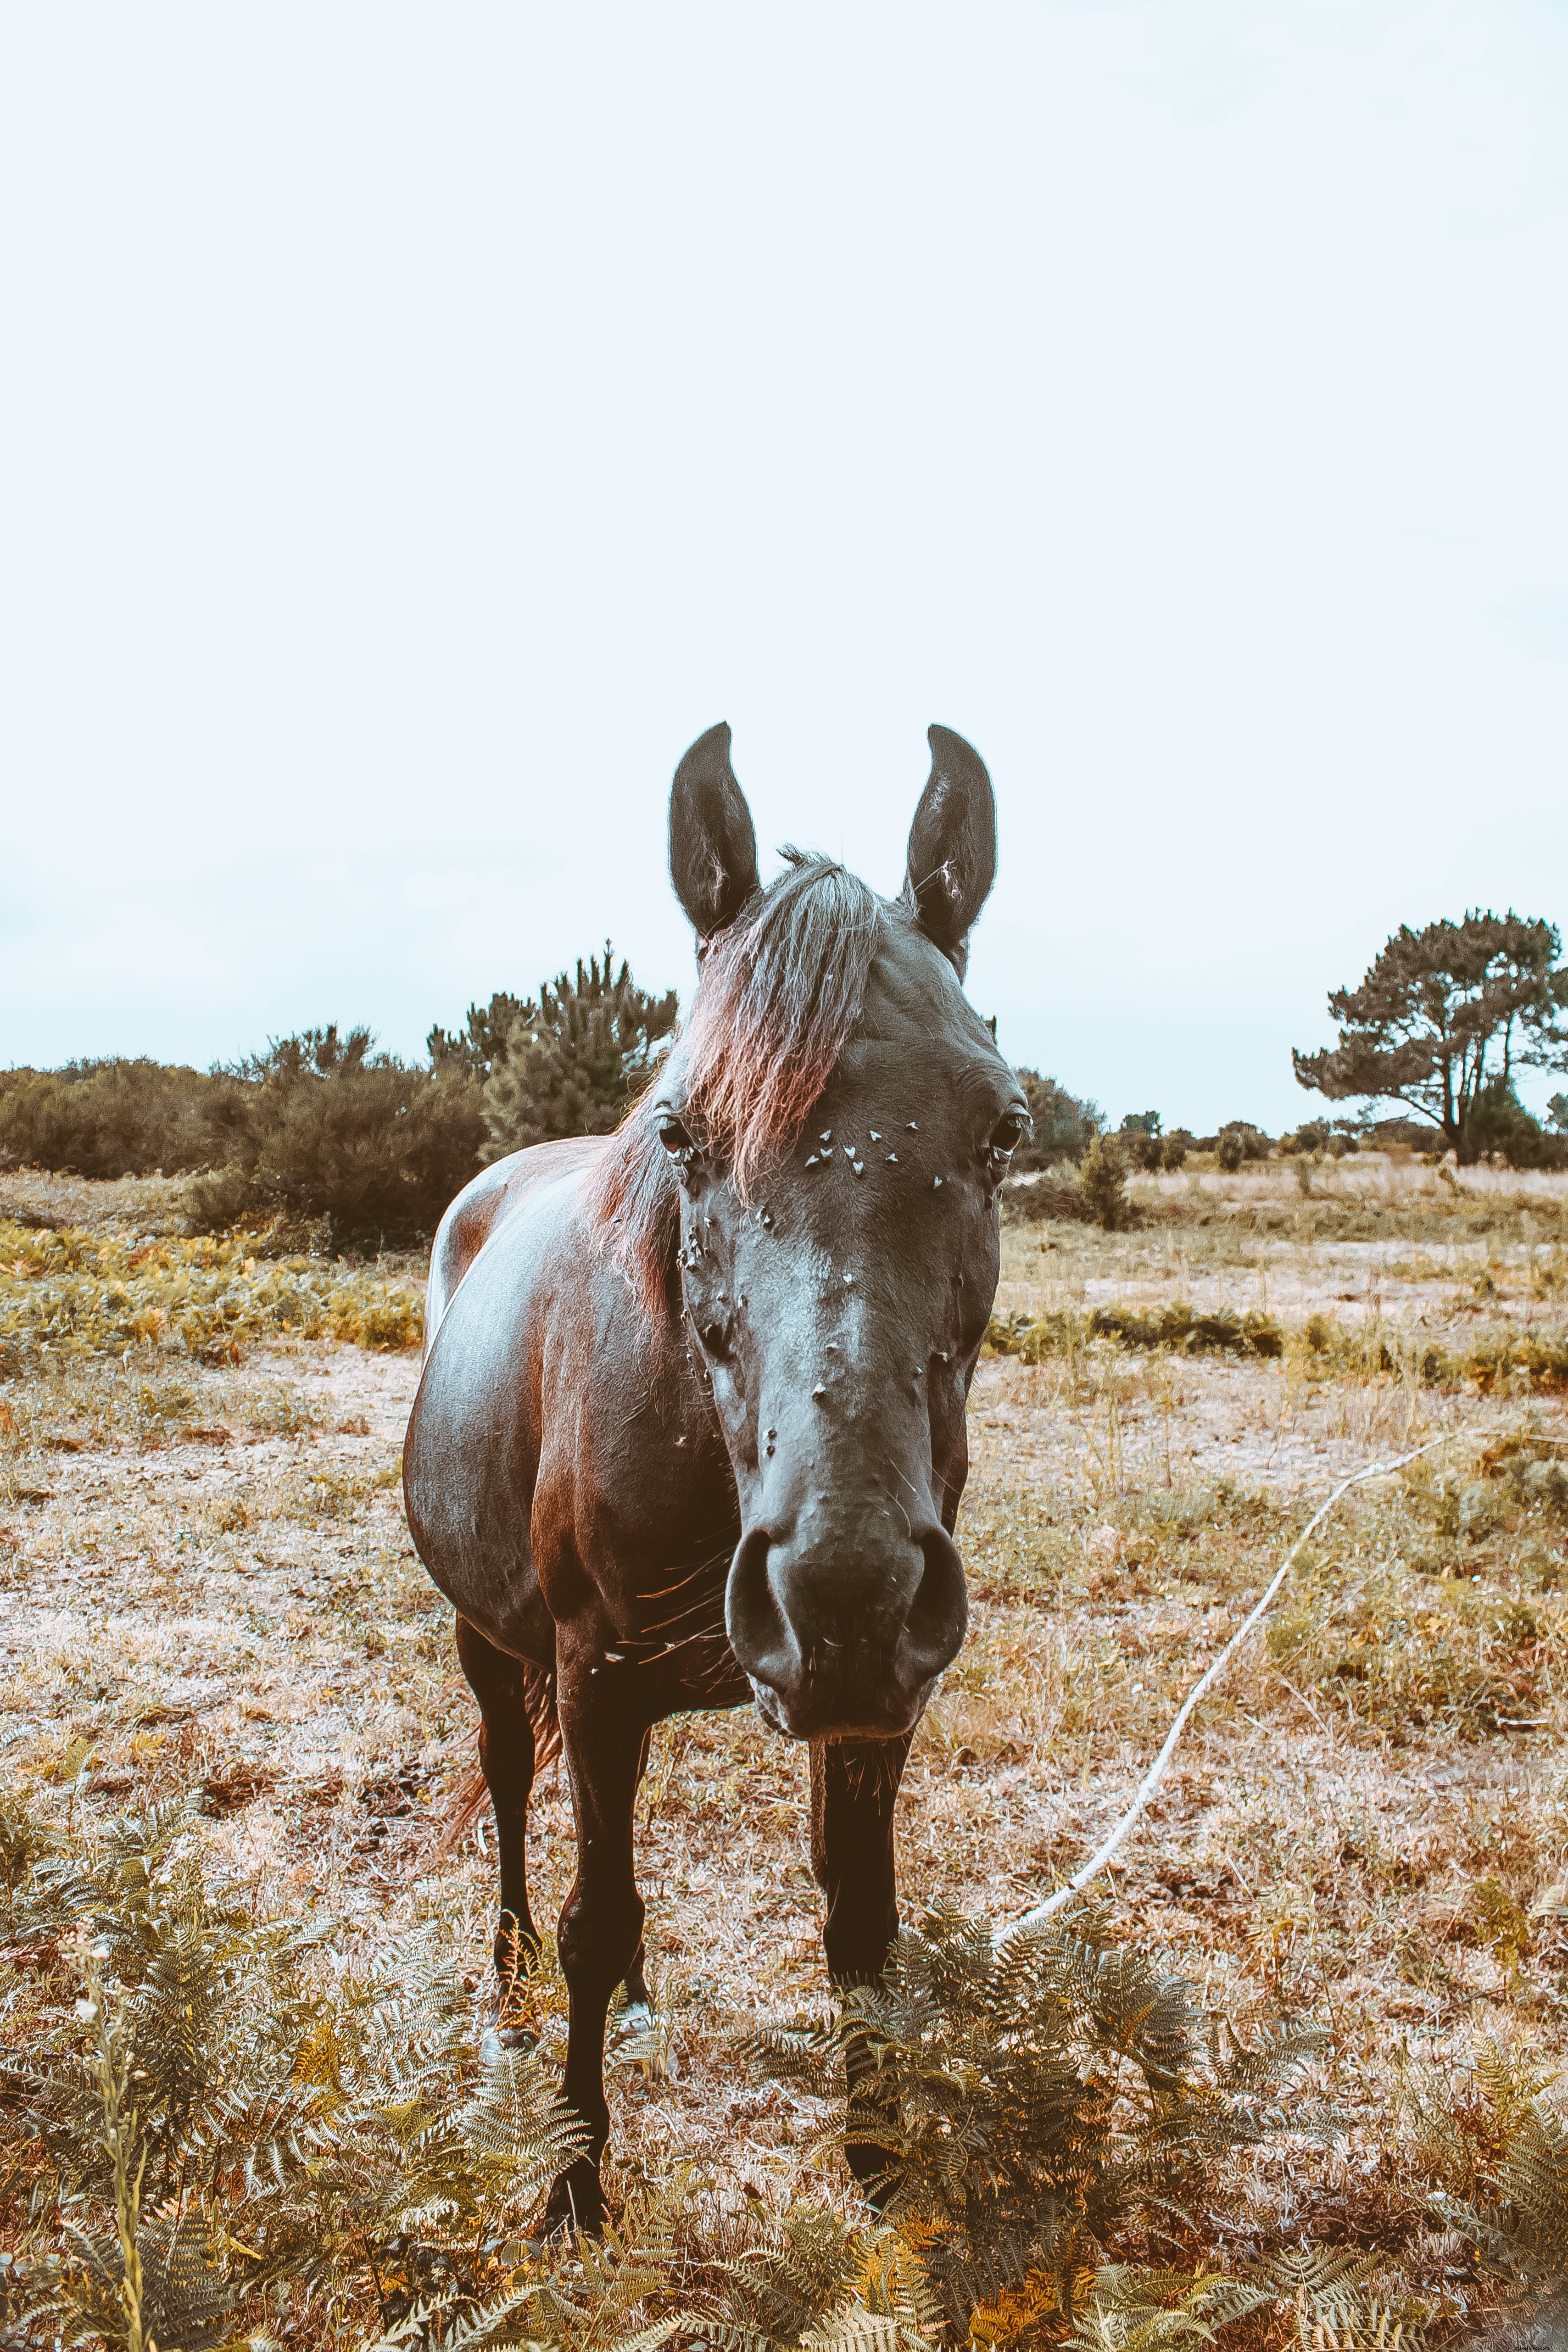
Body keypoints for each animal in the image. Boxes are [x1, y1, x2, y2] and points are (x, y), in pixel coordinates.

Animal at [403, 721, 1028, 2232]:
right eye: (682, 1133)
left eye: (1002, 1129)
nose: (844, 1592)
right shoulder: (588, 1672)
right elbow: (591, 1915)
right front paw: (575, 2188)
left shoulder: (878, 1709)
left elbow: (859, 1922)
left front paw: (877, 2163)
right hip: (488, 1637)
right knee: (511, 1796)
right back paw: (505, 1991)